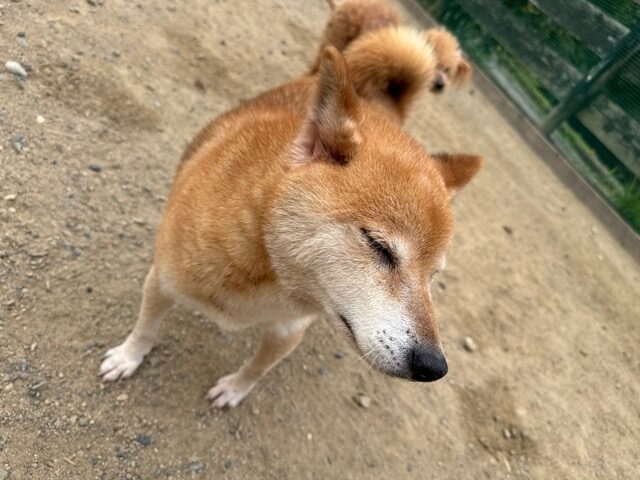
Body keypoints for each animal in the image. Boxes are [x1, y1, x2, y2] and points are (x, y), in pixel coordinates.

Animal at [99, 23, 483, 408]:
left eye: (432, 275)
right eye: (378, 245)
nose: (433, 366)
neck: (267, 264)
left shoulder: (288, 330)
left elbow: (257, 369)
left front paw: (234, 390)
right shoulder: (163, 280)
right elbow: (145, 328)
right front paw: (128, 357)